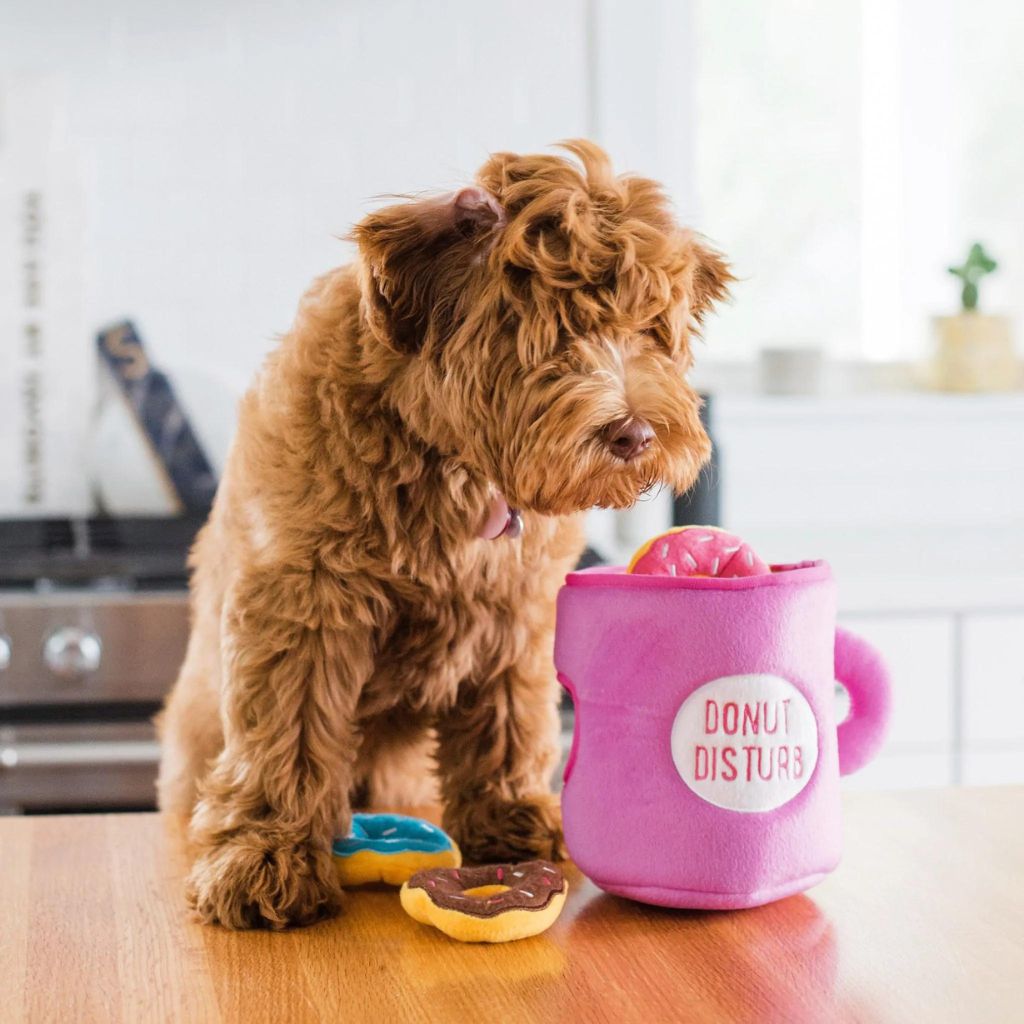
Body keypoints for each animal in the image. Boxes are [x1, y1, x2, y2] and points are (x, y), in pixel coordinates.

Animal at [155, 140, 733, 933]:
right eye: (552, 333)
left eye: (651, 329)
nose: (636, 434)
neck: (452, 465)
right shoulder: (301, 602)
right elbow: (287, 730)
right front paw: (265, 855)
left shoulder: (519, 611)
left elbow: (508, 722)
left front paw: (511, 817)